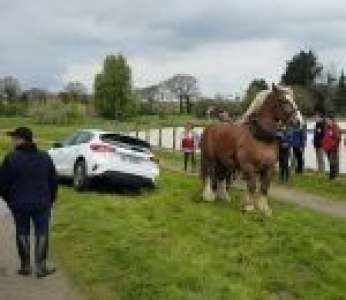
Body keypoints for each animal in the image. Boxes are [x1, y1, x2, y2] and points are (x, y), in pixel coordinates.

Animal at [200, 84, 300, 216]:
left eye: (293, 99)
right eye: (282, 100)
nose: (298, 121)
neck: (260, 137)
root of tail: (210, 127)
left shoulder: (269, 168)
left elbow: (264, 187)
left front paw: (264, 208)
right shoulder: (248, 166)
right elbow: (252, 185)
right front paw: (249, 206)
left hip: (224, 162)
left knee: (221, 176)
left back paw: (223, 197)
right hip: (209, 159)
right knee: (208, 175)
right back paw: (208, 196)